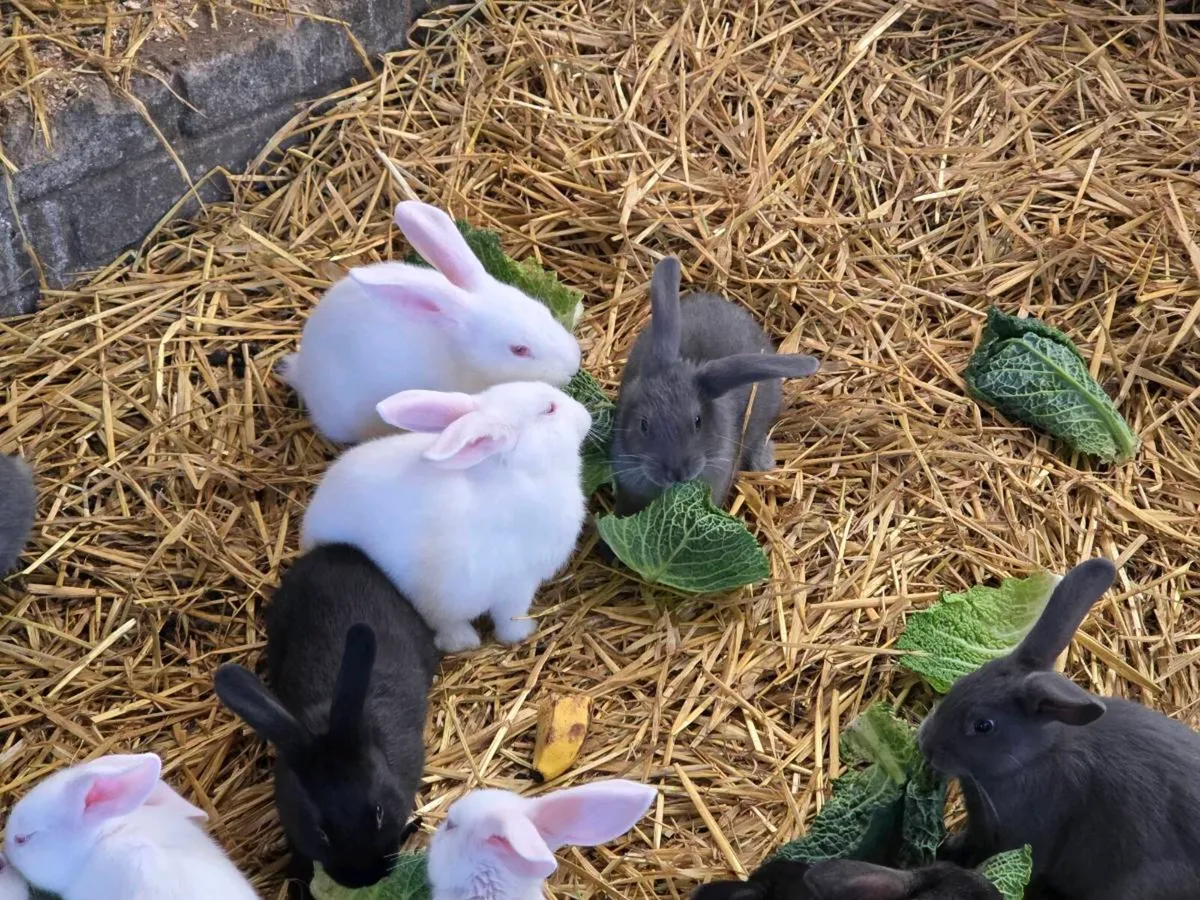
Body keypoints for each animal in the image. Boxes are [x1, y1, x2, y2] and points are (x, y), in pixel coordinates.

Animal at [300, 380, 592, 653]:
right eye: (549, 409)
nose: (586, 416)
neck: (518, 473)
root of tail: (312, 526)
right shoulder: (517, 584)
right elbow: (509, 617)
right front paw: (523, 632)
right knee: (445, 624)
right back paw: (465, 640)